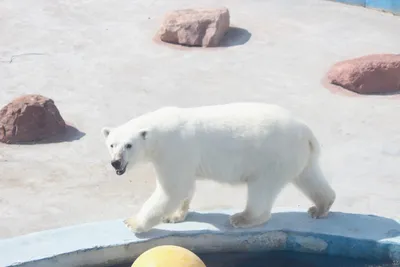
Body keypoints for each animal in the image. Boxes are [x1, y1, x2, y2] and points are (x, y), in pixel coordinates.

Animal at [101, 103, 336, 233]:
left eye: (129, 145)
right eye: (112, 144)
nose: (116, 162)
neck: (157, 131)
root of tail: (306, 131)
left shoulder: (173, 150)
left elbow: (172, 190)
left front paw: (132, 222)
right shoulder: (183, 158)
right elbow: (185, 187)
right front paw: (175, 216)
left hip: (273, 155)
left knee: (261, 189)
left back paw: (242, 218)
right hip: (298, 154)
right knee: (309, 176)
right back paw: (320, 207)